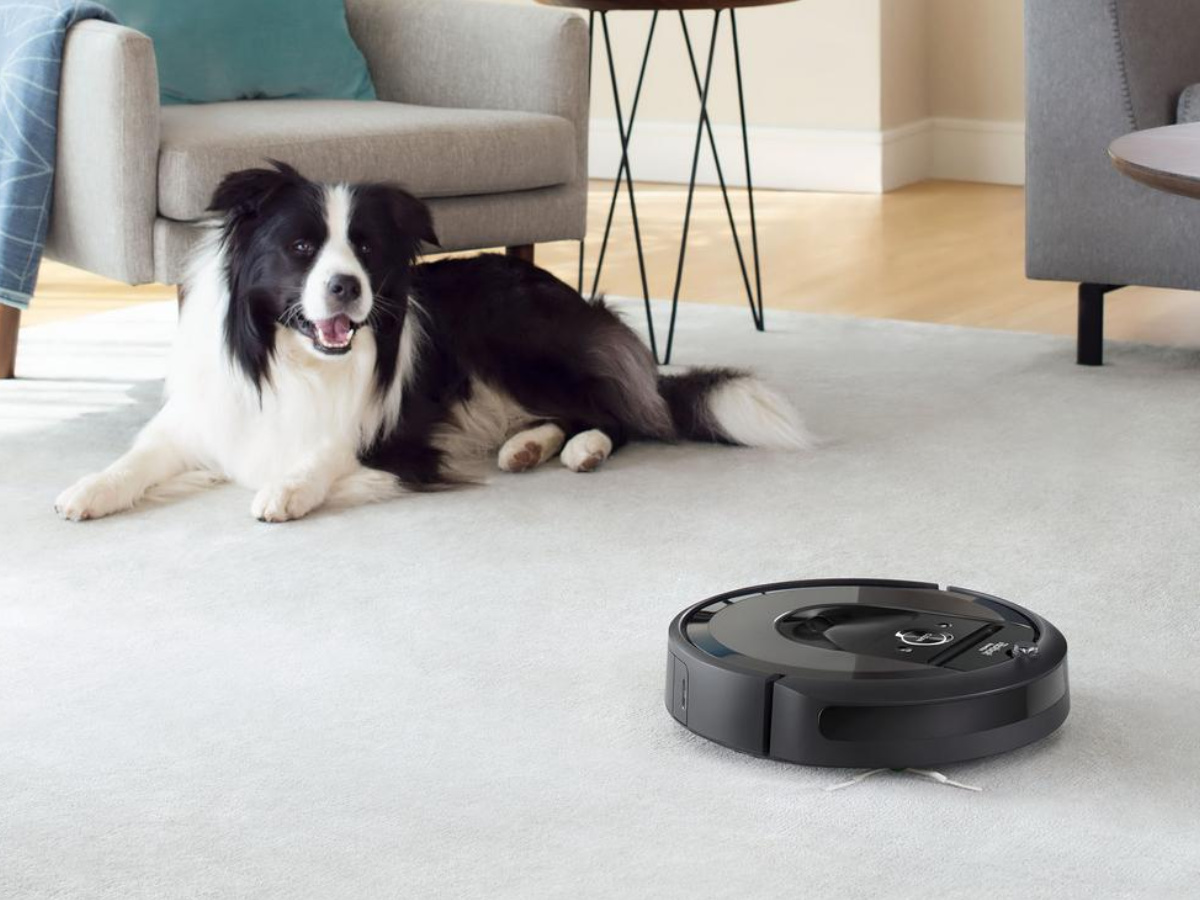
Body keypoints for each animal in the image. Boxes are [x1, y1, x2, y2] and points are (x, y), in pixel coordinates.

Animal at [54, 165, 806, 525]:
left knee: (625, 415)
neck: (292, 361)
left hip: (519, 342)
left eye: (364, 248)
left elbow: (329, 452)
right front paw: (87, 490)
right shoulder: (205, 419)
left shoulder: (391, 436)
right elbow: (136, 459)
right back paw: (527, 446)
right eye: (300, 247)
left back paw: (581, 449)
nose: (347, 289)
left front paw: (287, 489)